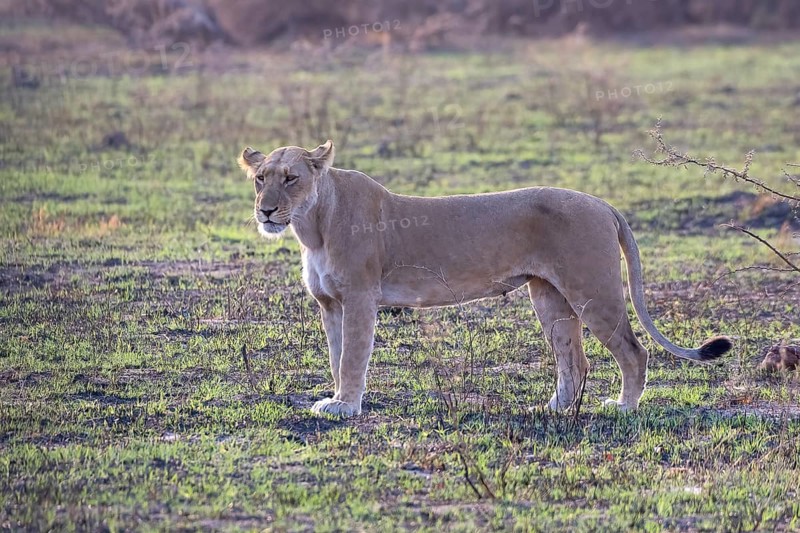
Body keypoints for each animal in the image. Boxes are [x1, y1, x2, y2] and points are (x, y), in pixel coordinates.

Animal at [238, 141, 732, 417]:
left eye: (291, 178)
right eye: (261, 178)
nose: (266, 210)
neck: (312, 226)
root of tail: (602, 203)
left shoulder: (359, 298)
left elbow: (352, 358)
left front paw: (345, 407)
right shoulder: (331, 304)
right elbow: (337, 354)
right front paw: (338, 400)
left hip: (593, 291)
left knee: (633, 351)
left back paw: (625, 407)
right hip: (548, 297)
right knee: (575, 360)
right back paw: (552, 409)